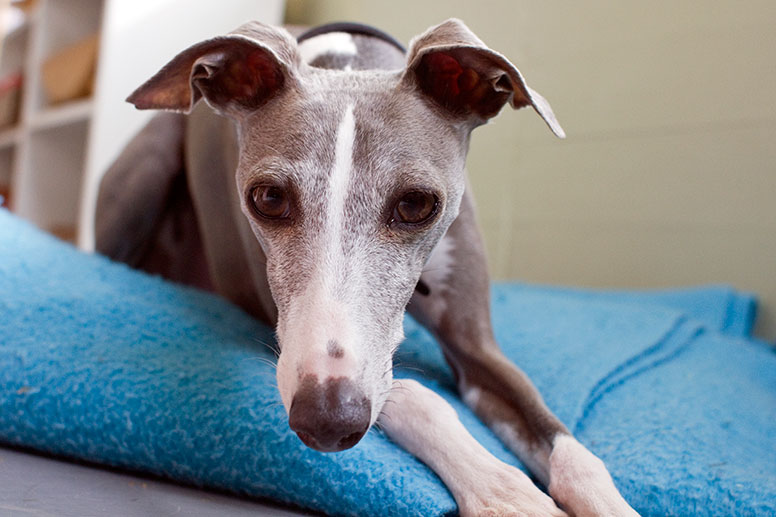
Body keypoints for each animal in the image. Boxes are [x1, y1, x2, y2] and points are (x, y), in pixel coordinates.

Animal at [95, 18, 636, 512]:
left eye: (416, 204)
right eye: (268, 198)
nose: (326, 422)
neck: (350, 64)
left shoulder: (477, 347)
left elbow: (570, 449)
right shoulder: (290, 331)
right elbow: (416, 394)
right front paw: (504, 491)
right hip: (148, 169)